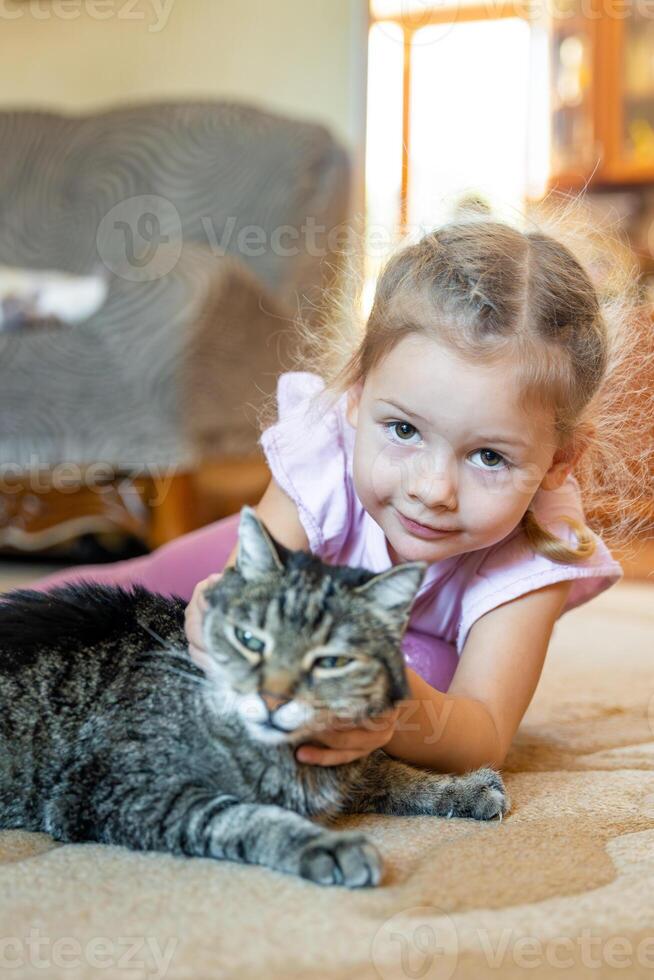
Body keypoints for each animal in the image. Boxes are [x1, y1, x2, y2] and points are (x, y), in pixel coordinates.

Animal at [0, 506, 510, 888]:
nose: (273, 699)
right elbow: (243, 817)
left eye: (330, 661)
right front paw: (326, 846)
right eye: (249, 639)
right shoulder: (123, 789)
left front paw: (463, 788)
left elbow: (398, 772)